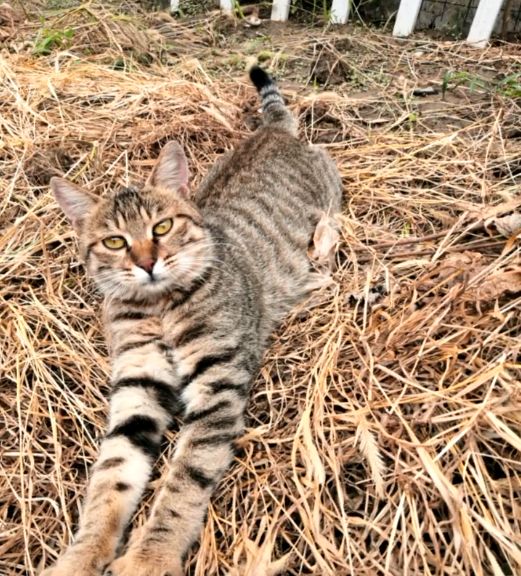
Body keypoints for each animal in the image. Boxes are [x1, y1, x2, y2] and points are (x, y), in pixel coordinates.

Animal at [42, 66, 344, 576]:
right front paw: (81, 556)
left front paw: (150, 556)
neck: (160, 306)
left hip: (329, 185)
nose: (147, 263)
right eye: (115, 242)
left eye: (162, 228)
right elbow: (110, 480)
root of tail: (272, 131)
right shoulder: (137, 386)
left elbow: (184, 479)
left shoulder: (217, 382)